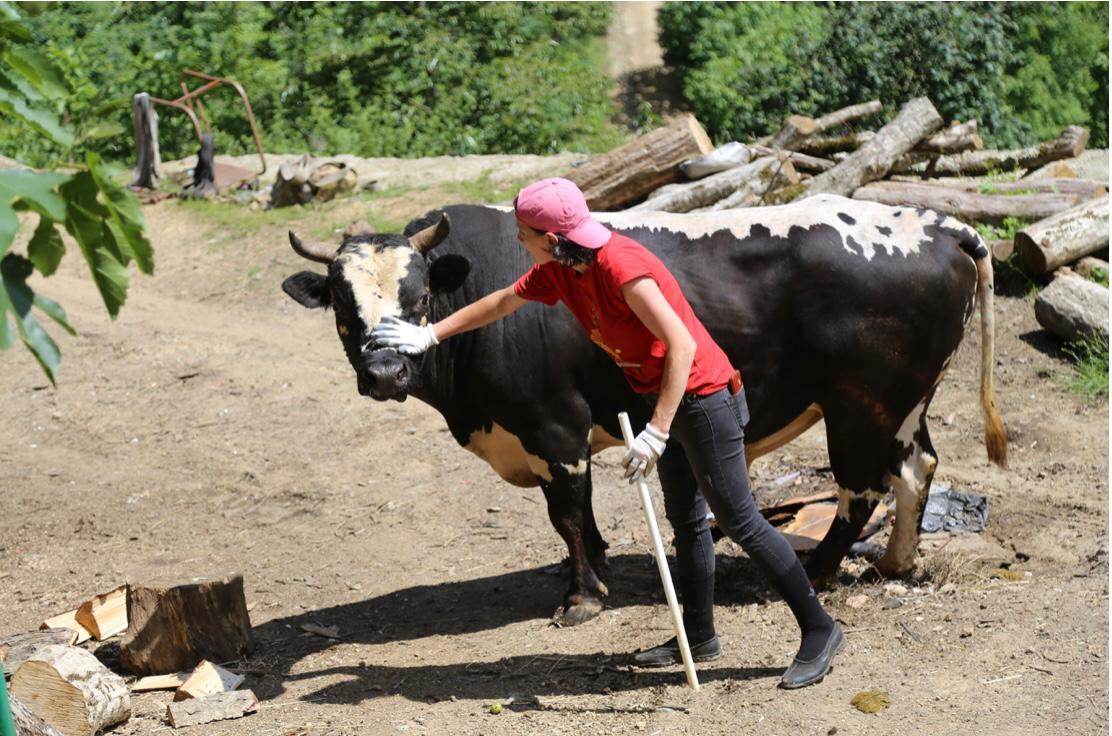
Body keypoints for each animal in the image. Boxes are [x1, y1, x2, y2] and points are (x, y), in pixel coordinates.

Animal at [280, 193, 1009, 627]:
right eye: (343, 305)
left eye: (421, 296)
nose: (385, 371)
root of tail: (940, 225)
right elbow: (582, 519)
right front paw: (595, 569)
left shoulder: (555, 426)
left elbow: (568, 513)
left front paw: (581, 596)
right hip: (904, 403)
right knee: (916, 469)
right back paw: (896, 562)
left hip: (859, 404)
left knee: (860, 489)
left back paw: (818, 570)